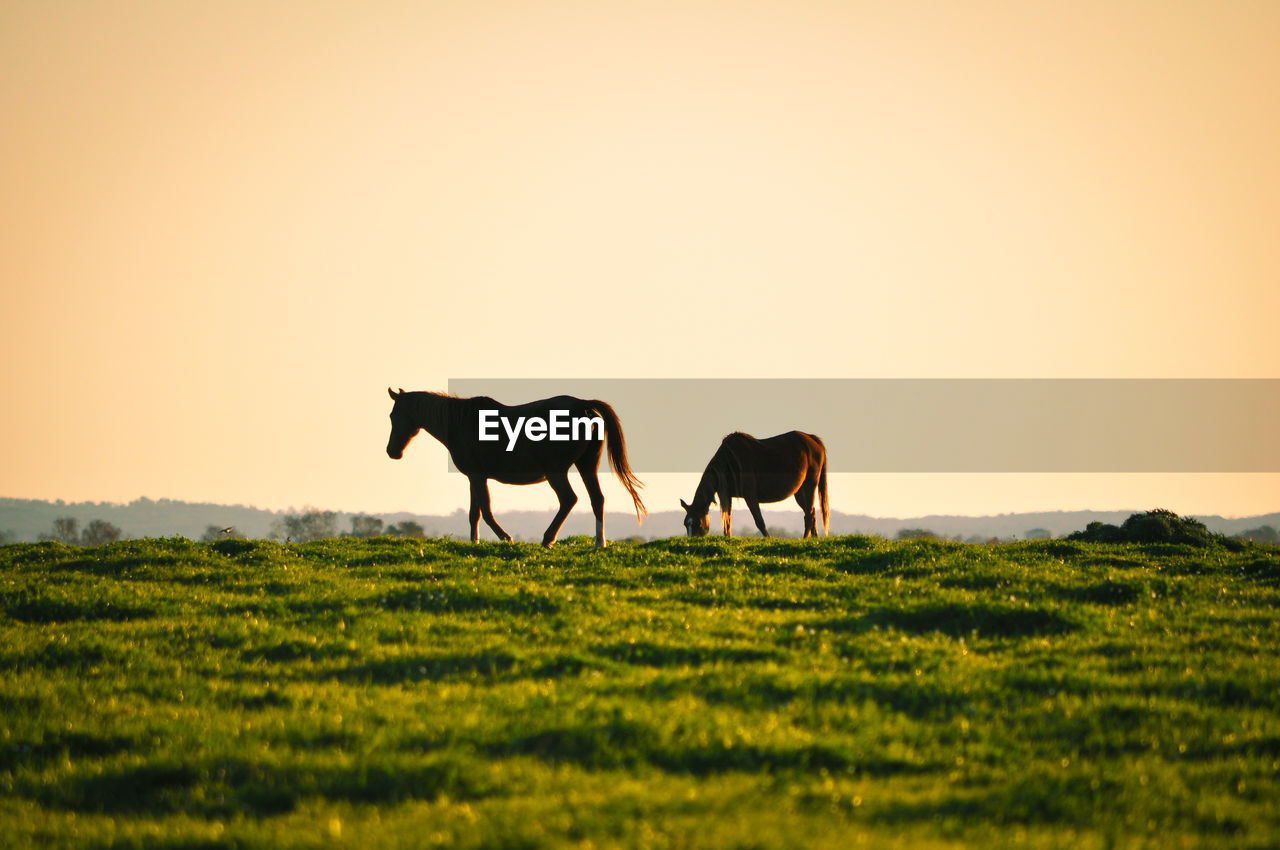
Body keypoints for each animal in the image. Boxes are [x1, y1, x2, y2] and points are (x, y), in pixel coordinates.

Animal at [376, 389, 640, 547]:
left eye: (393, 415)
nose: (392, 451)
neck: (462, 422)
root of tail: (584, 406)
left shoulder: (477, 477)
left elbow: (485, 511)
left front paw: (505, 538)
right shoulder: (474, 478)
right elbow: (474, 513)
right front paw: (475, 543)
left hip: (557, 472)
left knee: (568, 499)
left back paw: (548, 539)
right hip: (586, 465)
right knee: (597, 499)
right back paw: (599, 543)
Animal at [680, 432, 829, 537]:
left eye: (697, 523)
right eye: (685, 524)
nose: (692, 541)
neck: (729, 460)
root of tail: (813, 439)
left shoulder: (750, 496)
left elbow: (759, 521)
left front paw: (769, 539)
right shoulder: (728, 495)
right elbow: (727, 522)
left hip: (810, 485)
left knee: (809, 515)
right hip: (800, 491)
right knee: (812, 513)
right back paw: (814, 539)